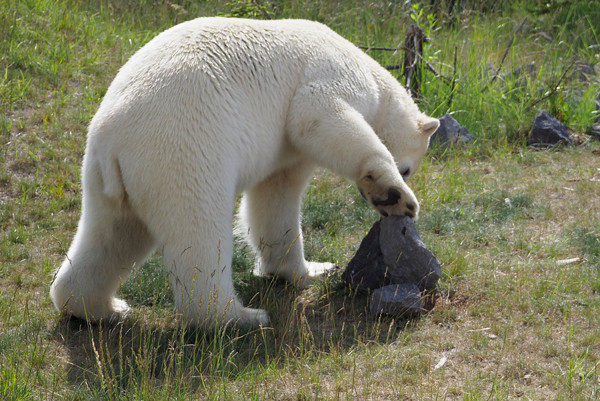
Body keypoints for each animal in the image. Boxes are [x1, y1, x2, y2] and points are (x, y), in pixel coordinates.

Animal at [49, 17, 438, 328]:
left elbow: (275, 199)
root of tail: (112, 140)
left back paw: (100, 307)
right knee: (199, 232)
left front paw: (310, 269)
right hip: (184, 149)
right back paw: (239, 316)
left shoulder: (283, 151)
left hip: (110, 179)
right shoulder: (328, 76)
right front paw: (394, 196)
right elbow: (317, 114)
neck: (369, 70)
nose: (402, 179)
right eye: (406, 169)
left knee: (112, 235)